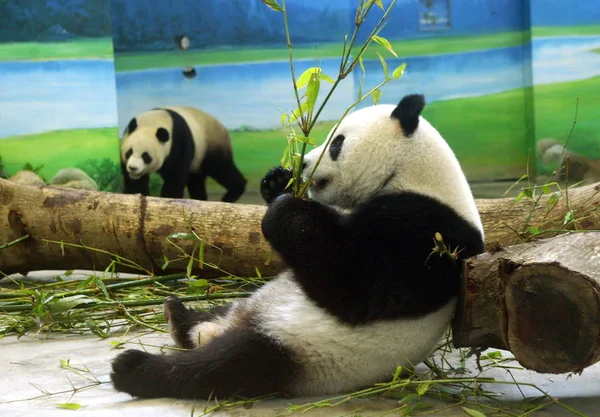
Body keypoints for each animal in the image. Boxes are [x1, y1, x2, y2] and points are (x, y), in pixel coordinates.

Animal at [110, 92, 486, 398]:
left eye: (337, 142)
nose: (303, 163)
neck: (414, 173)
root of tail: (224, 329)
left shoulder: (427, 232)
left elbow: (356, 286)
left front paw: (283, 206)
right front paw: (278, 182)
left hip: (298, 350)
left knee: (223, 368)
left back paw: (134, 368)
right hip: (253, 309)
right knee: (219, 315)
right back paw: (180, 316)